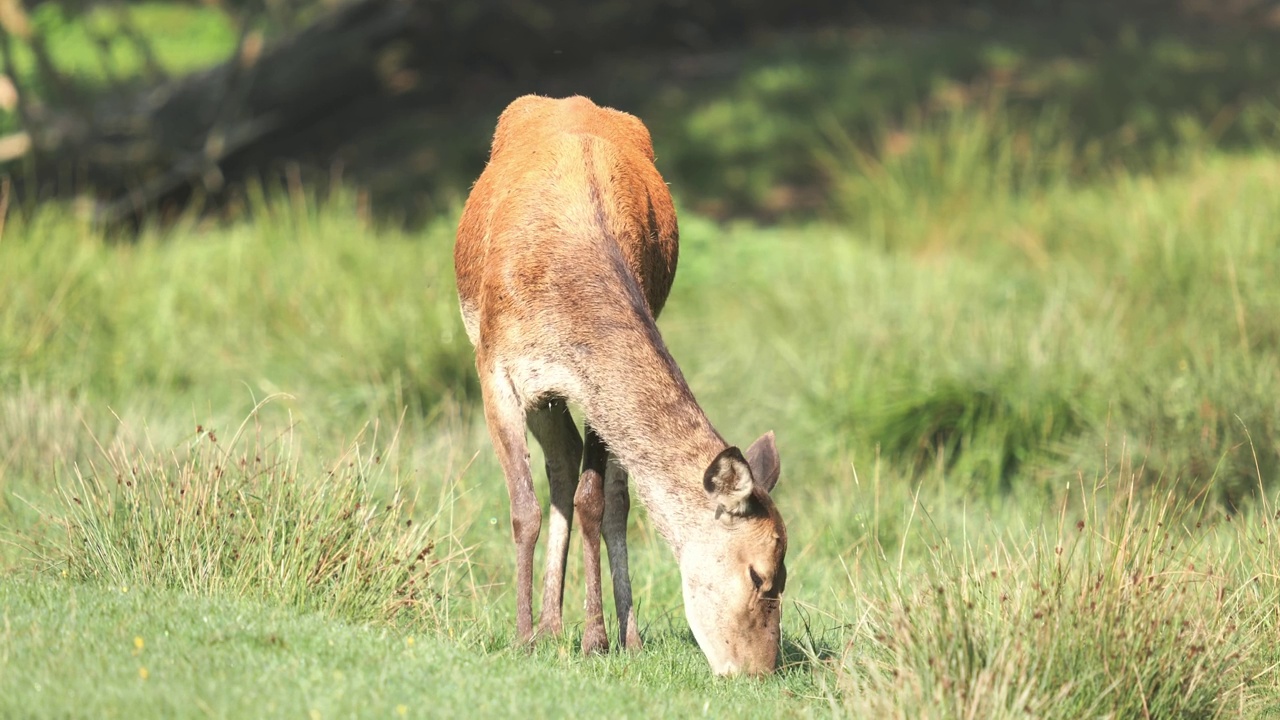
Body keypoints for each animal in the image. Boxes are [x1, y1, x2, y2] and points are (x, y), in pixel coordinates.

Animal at [455, 94, 783, 671]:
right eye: (759, 574)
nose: (761, 670)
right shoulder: (495, 367)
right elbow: (522, 509)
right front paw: (520, 638)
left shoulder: (589, 391)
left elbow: (595, 502)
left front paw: (597, 638)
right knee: (560, 467)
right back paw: (545, 628)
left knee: (591, 481)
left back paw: (588, 630)